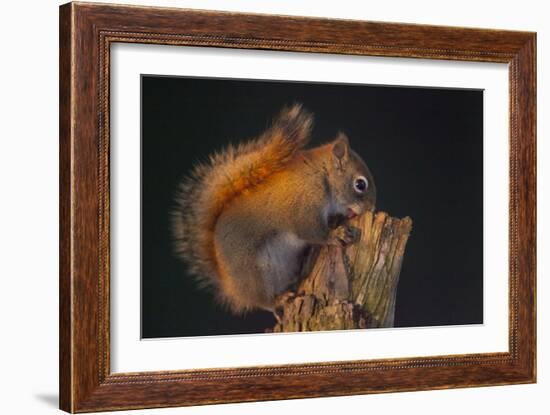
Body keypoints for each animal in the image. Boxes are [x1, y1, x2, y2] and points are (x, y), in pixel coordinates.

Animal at [175, 105, 378, 316]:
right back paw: (279, 300)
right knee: (262, 301)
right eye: (360, 184)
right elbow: (312, 231)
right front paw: (336, 234)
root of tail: (229, 284)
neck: (322, 176)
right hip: (255, 274)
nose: (372, 208)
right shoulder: (304, 206)